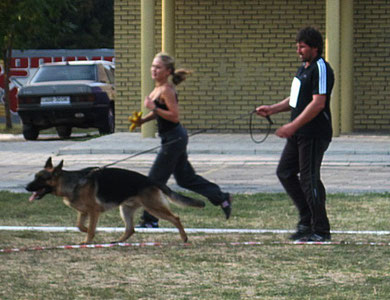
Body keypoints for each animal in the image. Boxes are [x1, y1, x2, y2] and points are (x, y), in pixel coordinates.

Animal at [25, 157, 206, 244]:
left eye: (41, 179)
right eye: (35, 177)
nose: (26, 187)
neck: (72, 182)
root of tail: (150, 180)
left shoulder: (93, 212)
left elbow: (90, 229)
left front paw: (88, 240)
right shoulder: (84, 212)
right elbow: (80, 226)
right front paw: (89, 233)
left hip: (154, 208)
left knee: (176, 218)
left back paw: (184, 238)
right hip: (125, 210)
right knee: (130, 229)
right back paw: (118, 241)